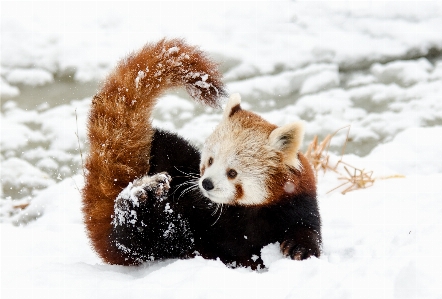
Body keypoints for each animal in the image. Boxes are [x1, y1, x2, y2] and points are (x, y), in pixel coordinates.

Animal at [82, 38, 322, 270]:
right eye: (210, 160)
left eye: (232, 172)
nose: (206, 183)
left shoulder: (298, 201)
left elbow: (306, 230)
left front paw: (299, 248)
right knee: (136, 236)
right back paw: (142, 193)